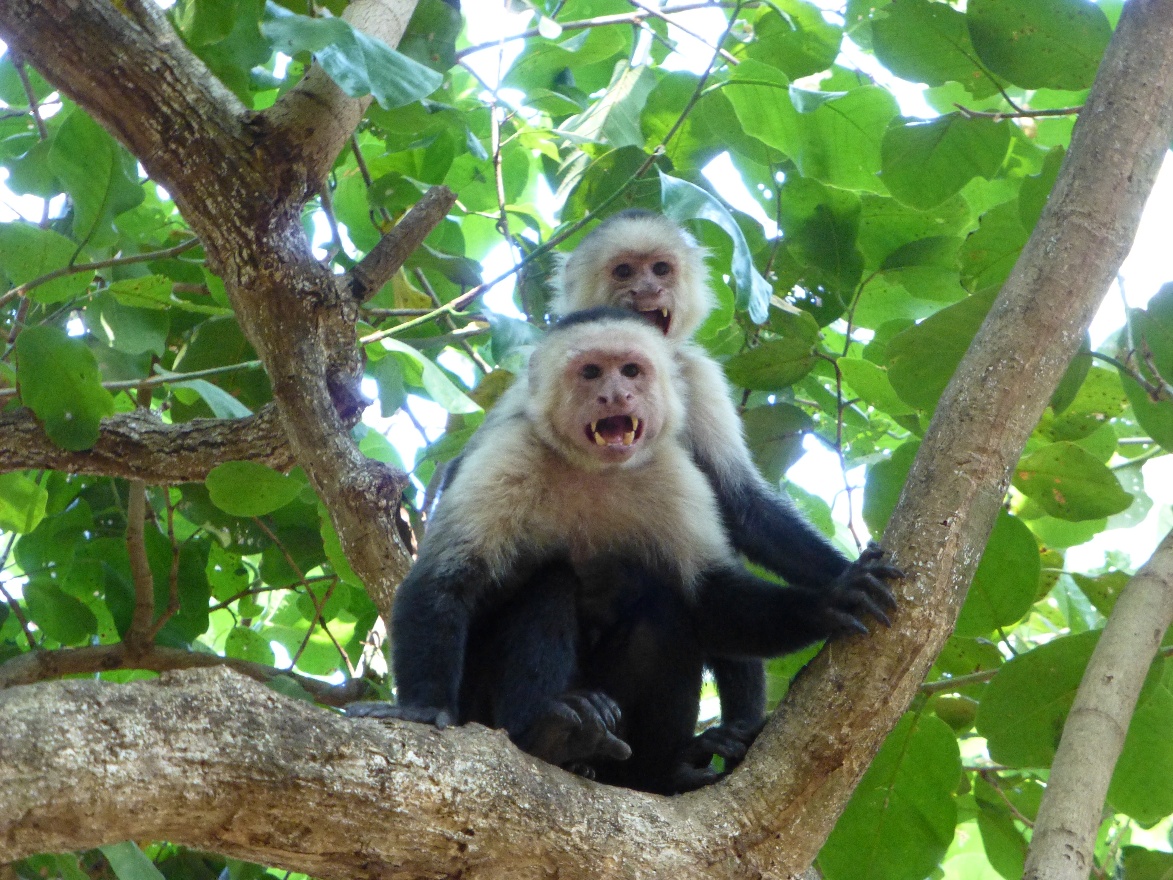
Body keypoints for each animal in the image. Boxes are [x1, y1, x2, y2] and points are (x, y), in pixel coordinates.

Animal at [350, 308, 897, 793]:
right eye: (591, 372)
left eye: (631, 370)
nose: (615, 393)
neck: (594, 471)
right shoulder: (509, 455)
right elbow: (445, 581)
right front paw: (420, 711)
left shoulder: (671, 474)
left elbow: (711, 591)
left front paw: (829, 599)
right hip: (478, 707)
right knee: (550, 581)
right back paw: (548, 734)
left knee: (666, 612)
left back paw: (658, 775)